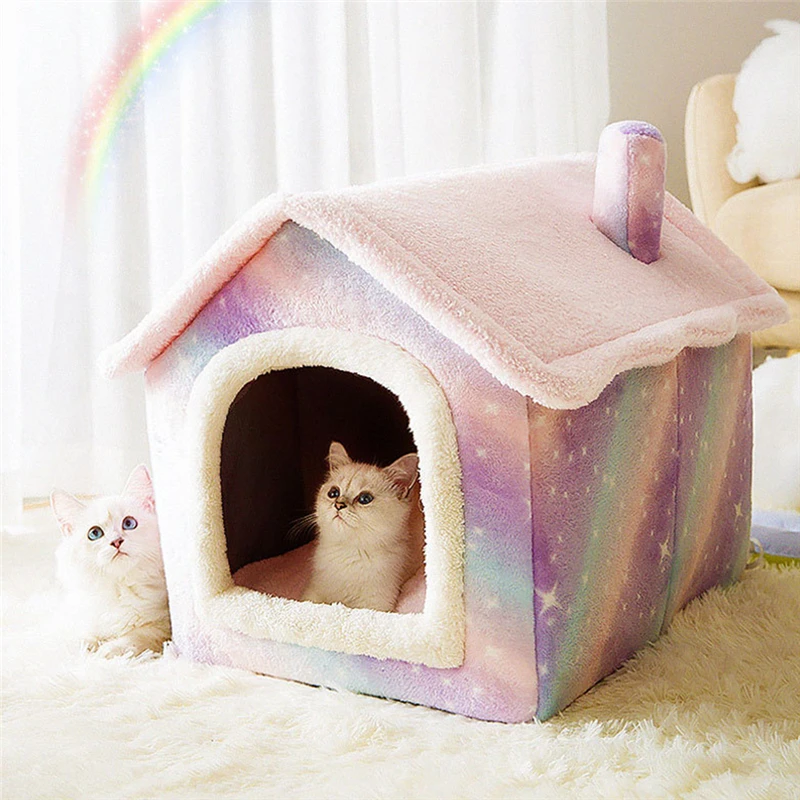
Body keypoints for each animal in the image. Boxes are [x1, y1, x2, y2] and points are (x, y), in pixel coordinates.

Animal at [50, 465, 170, 658]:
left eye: (129, 523)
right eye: (94, 533)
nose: (116, 542)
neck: (119, 588)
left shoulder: (163, 625)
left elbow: (137, 636)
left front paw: (107, 651)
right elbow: (83, 637)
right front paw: (81, 649)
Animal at [302, 442, 425, 613]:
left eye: (365, 499)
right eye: (333, 493)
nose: (338, 505)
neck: (348, 551)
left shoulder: (375, 604)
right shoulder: (314, 590)